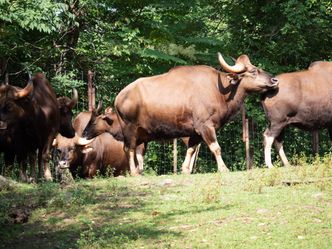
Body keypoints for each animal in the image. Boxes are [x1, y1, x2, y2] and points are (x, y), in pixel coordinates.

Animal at [85, 54, 278, 175]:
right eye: (253, 71)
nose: (274, 80)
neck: (219, 90)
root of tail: (119, 97)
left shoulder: (195, 132)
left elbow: (191, 149)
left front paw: (185, 169)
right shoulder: (206, 126)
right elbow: (216, 147)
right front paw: (223, 168)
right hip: (130, 130)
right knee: (129, 149)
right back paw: (133, 172)